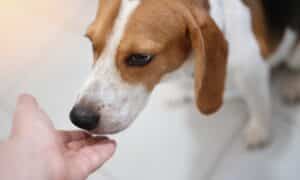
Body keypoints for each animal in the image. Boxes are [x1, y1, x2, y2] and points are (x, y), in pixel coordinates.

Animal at [71, 0, 300, 148]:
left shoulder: (251, 71)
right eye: (91, 42)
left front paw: (259, 130)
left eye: (141, 57)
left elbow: (259, 104)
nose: (80, 118)